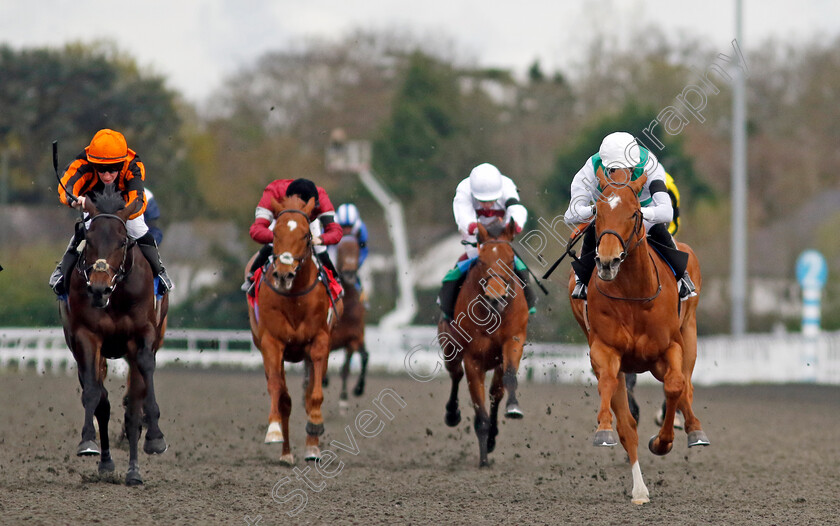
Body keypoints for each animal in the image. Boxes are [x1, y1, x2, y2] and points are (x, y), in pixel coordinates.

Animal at [59, 188, 169, 488]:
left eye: (122, 242)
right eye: (88, 239)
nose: (99, 288)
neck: (116, 296)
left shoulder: (143, 335)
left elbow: (139, 394)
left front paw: (155, 437)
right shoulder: (86, 337)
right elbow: (94, 395)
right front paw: (88, 441)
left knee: (131, 405)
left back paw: (133, 471)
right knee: (103, 401)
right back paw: (107, 462)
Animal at [246, 195, 342, 466]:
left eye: (306, 235)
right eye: (275, 233)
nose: (284, 274)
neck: (295, 297)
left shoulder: (320, 341)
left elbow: (314, 396)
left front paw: (316, 425)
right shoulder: (271, 343)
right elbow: (278, 393)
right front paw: (274, 431)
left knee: (309, 393)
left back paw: (311, 448)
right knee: (284, 399)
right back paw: (286, 453)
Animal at [440, 221, 524, 468]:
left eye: (510, 260)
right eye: (481, 261)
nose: (495, 298)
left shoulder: (513, 341)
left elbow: (508, 378)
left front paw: (513, 408)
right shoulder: (473, 359)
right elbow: (480, 412)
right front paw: (484, 458)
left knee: (496, 391)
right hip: (449, 346)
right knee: (455, 373)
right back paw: (452, 414)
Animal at [564, 170, 708, 508]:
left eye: (633, 213)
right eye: (598, 213)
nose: (607, 261)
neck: (632, 291)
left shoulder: (669, 348)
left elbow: (676, 386)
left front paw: (663, 441)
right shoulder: (605, 350)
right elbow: (614, 399)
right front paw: (604, 429)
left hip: (690, 334)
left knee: (687, 385)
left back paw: (694, 430)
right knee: (627, 420)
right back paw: (640, 489)